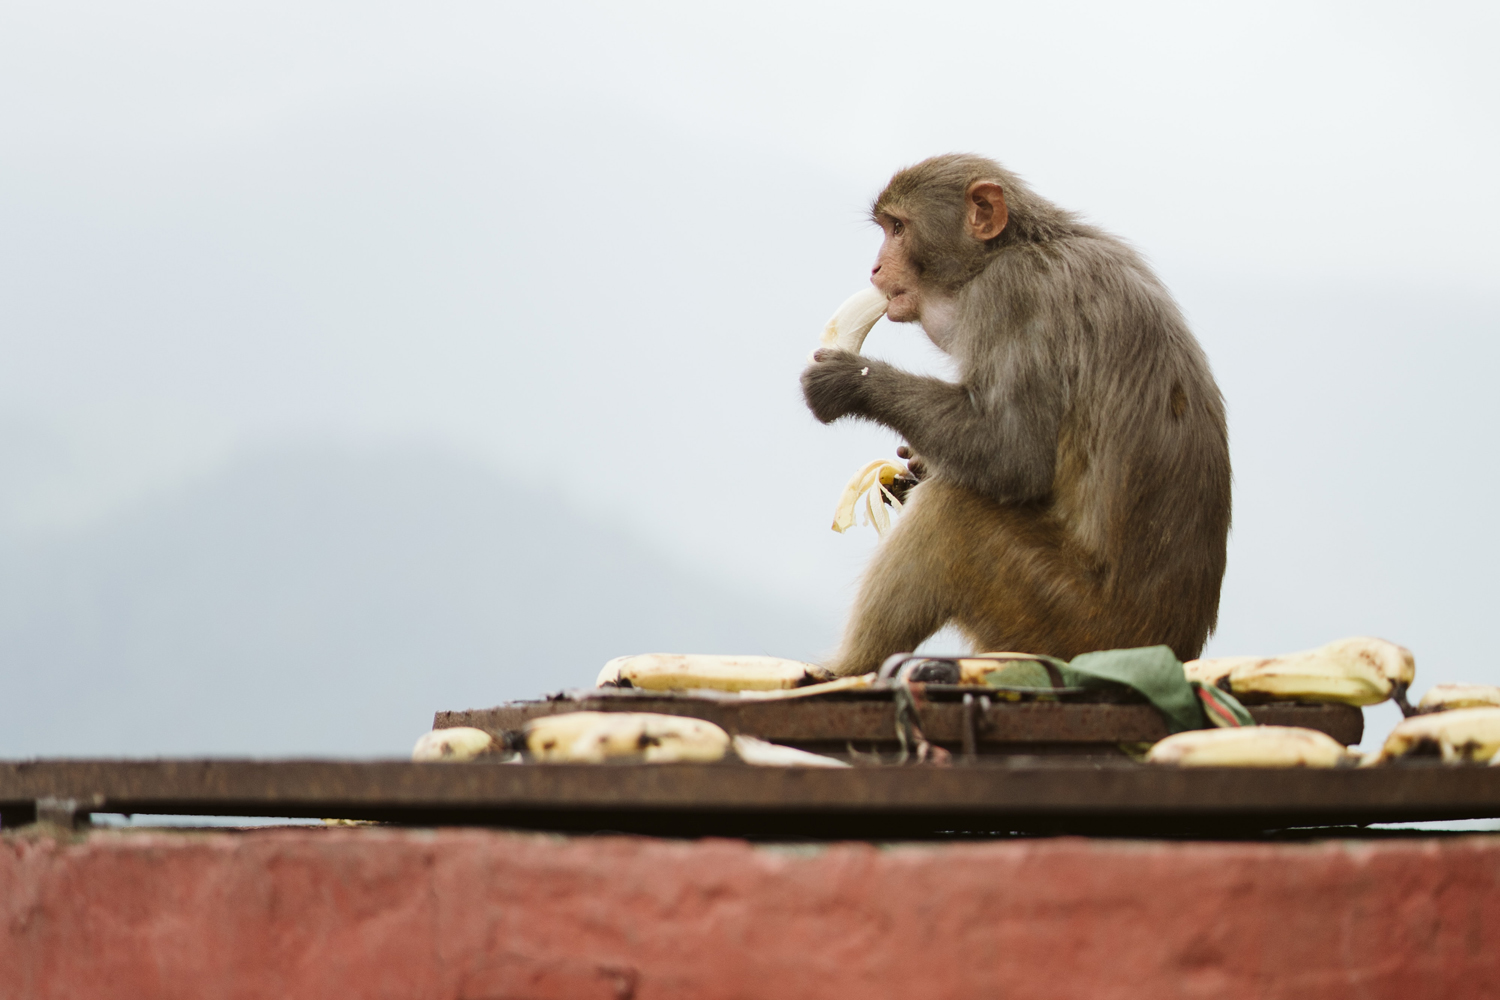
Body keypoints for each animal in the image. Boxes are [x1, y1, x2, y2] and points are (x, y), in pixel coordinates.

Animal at [804, 152, 1236, 677]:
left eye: (899, 228)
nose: (875, 268)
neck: (1017, 245)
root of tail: (1176, 648)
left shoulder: (1010, 294)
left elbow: (1013, 455)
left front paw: (850, 382)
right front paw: (909, 473)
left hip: (1067, 624)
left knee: (951, 512)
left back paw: (847, 668)